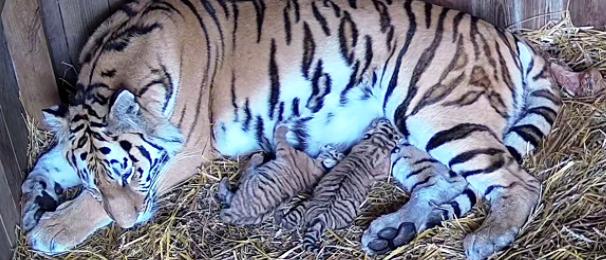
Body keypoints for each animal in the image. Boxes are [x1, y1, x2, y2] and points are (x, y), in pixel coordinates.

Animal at [21, 1, 564, 258]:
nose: (131, 224)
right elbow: (52, 161)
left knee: (520, 182)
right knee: (442, 185)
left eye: (129, 174)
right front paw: (33, 198)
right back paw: (392, 230)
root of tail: (506, 36)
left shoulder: (189, 149)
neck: (113, 64)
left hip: (438, 115)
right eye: (95, 178)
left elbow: (89, 205)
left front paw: (51, 228)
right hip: (410, 140)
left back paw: (488, 238)